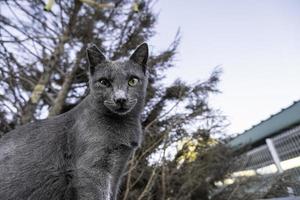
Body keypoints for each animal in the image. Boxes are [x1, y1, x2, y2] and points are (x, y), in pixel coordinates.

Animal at [0, 43, 149, 199]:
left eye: (132, 81)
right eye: (104, 82)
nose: (120, 99)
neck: (123, 125)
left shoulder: (118, 170)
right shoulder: (91, 170)